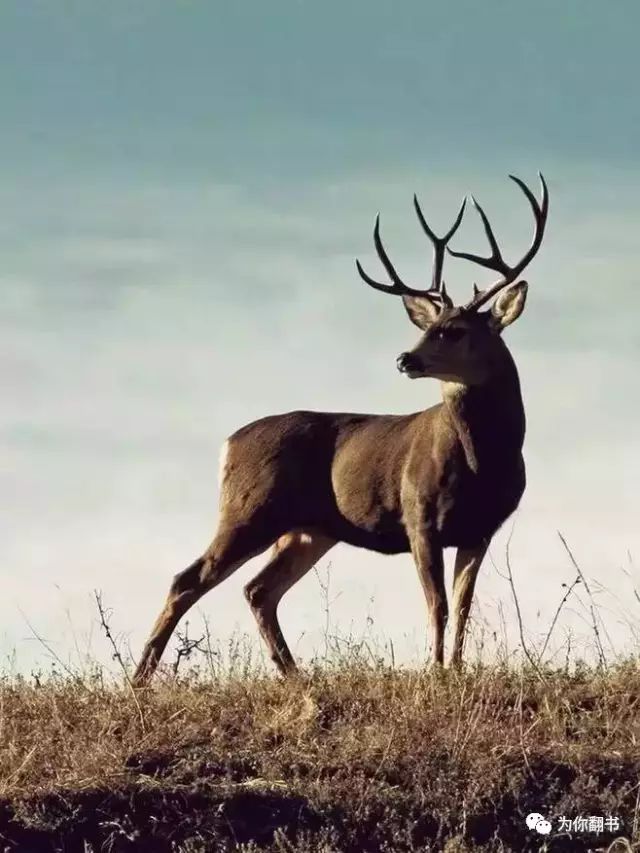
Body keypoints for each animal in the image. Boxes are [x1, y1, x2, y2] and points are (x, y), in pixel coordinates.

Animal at [131, 173, 552, 684]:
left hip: (309, 529)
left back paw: (292, 674)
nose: (405, 358)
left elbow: (464, 607)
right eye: (428, 326)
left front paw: (454, 669)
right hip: (249, 509)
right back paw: (140, 678)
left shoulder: (481, 529)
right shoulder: (418, 516)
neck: (481, 463)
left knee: (258, 589)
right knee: (189, 579)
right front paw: (434, 672)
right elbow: (438, 605)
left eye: (456, 330)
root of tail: (228, 444)